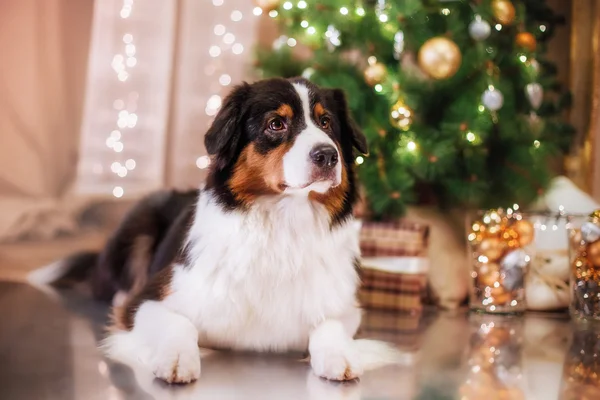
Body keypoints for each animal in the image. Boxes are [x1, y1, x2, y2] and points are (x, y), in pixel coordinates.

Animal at [30, 77, 400, 384]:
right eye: (276, 124)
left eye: (326, 123)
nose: (327, 155)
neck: (282, 224)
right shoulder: (148, 300)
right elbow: (179, 322)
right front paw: (177, 358)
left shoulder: (345, 308)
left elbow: (329, 324)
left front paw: (340, 355)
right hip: (139, 220)